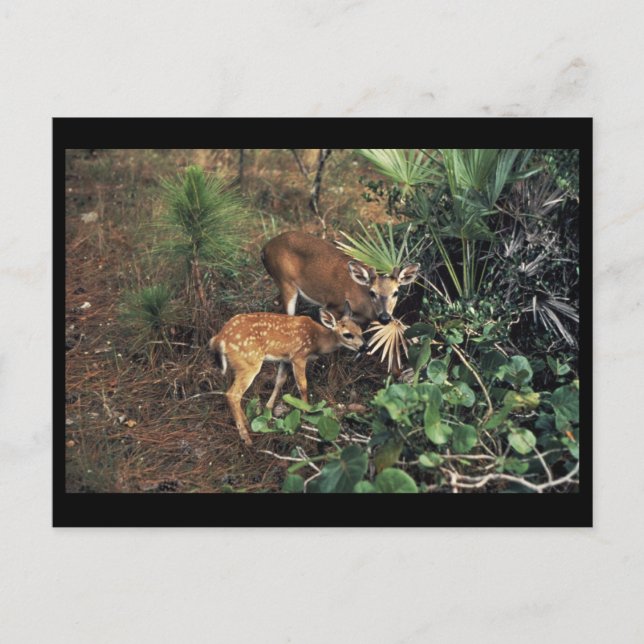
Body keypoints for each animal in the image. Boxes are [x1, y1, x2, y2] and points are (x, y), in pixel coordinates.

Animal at [208, 302, 366, 445]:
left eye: (360, 329)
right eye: (347, 334)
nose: (365, 347)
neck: (318, 341)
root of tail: (219, 338)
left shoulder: (285, 359)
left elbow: (280, 381)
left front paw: (268, 408)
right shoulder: (298, 356)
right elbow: (303, 385)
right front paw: (306, 412)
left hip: (237, 366)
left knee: (232, 392)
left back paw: (247, 423)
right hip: (250, 363)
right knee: (233, 394)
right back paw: (246, 437)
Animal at [261, 231, 420, 325]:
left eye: (396, 292)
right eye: (372, 292)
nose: (385, 318)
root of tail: (264, 249)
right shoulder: (333, 305)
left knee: (275, 302)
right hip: (285, 281)